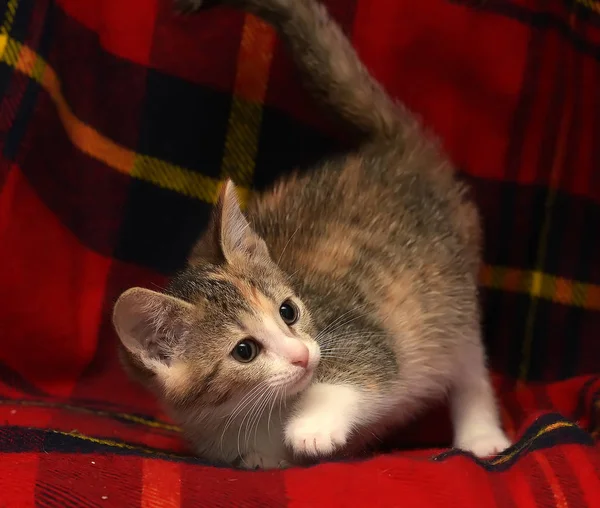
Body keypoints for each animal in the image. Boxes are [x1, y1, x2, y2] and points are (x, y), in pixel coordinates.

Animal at [112, 0, 510, 470]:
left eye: (288, 312)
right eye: (244, 351)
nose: (302, 355)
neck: (254, 415)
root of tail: (396, 149)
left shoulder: (359, 338)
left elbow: (362, 370)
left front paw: (311, 426)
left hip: (451, 291)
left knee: (470, 364)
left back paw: (481, 435)